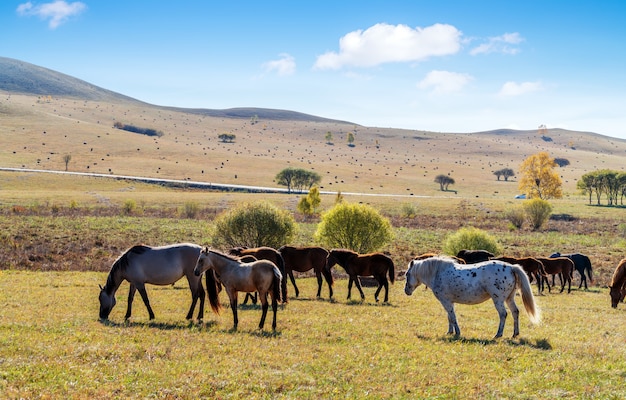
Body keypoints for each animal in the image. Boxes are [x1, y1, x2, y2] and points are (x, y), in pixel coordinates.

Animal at [402, 256, 540, 338]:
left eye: (407, 274)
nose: (406, 291)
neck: (438, 273)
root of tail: (511, 268)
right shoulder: (449, 302)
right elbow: (449, 317)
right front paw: (449, 332)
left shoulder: (446, 301)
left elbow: (453, 317)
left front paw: (457, 333)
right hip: (509, 298)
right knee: (515, 312)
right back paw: (515, 334)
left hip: (498, 300)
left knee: (503, 314)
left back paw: (498, 334)